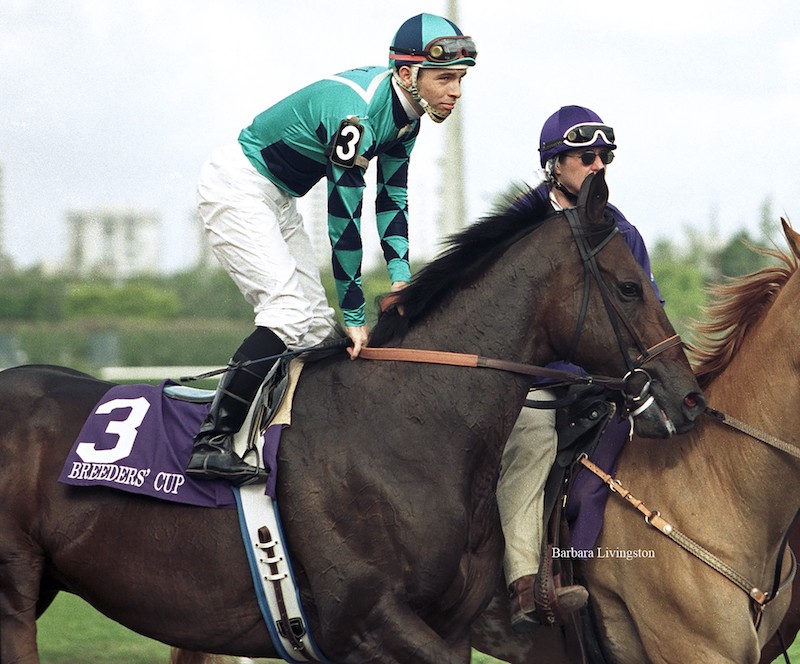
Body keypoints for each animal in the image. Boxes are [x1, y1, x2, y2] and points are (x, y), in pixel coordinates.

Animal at [0, 172, 704, 664]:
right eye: (629, 287)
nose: (688, 399)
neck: (408, 424)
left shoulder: (447, 627)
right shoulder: (365, 622)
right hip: (14, 588)